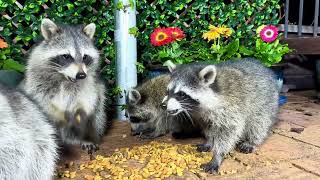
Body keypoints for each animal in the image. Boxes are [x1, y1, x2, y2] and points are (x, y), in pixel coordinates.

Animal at [22, 18, 107, 153]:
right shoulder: (37, 85)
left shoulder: (90, 87)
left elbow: (87, 106)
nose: (81, 75)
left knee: (98, 112)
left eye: (85, 57)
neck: (66, 79)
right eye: (66, 56)